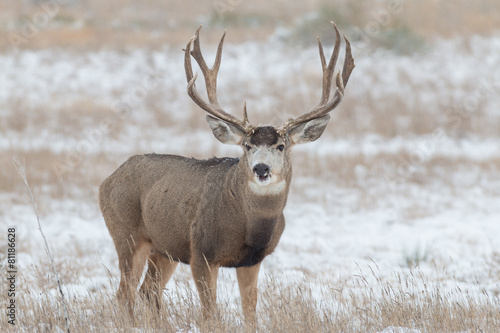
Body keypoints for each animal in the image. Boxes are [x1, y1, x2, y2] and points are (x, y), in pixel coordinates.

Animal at [99, 21, 354, 326]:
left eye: (281, 146)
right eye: (247, 146)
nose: (261, 168)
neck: (248, 225)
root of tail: (107, 180)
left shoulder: (252, 260)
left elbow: (250, 310)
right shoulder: (201, 251)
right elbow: (210, 312)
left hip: (164, 248)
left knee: (148, 291)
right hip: (127, 234)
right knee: (124, 293)